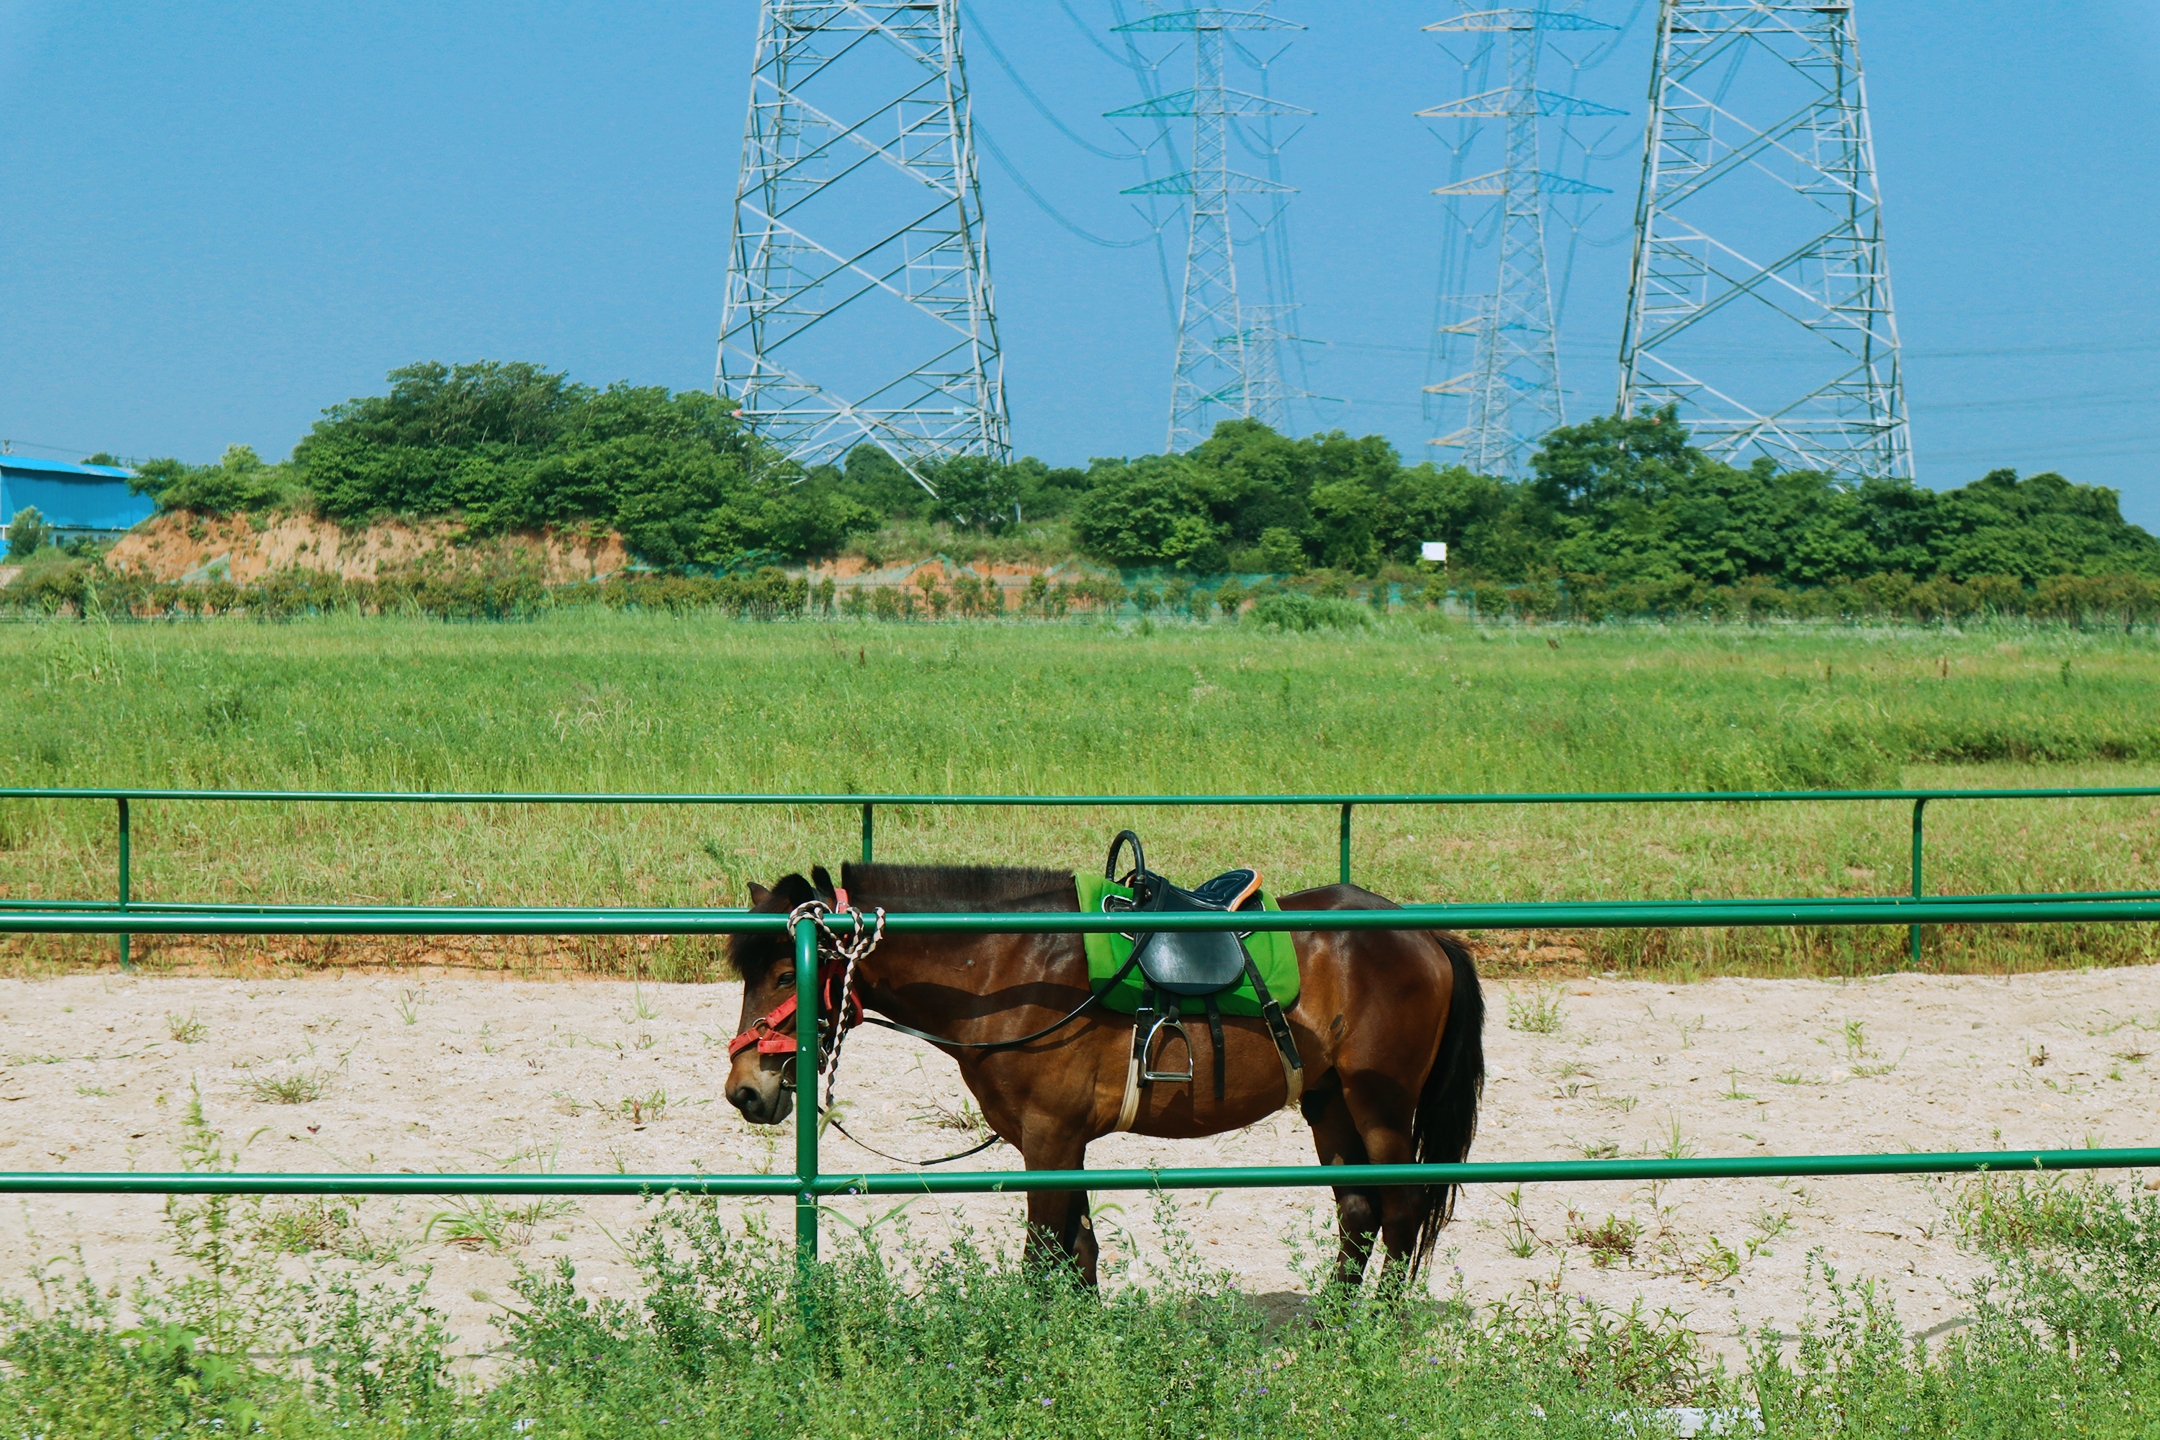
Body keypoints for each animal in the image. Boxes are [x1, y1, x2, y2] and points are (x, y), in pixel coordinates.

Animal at [725, 863, 1486, 1286]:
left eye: (785, 971)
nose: (745, 1091)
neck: (1005, 966)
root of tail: (1426, 934)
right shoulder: (1060, 1144)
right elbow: (1079, 1251)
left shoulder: (1049, 1140)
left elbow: (1043, 1257)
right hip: (1327, 1102)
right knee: (1358, 1214)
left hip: (1379, 1107)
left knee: (1401, 1217)